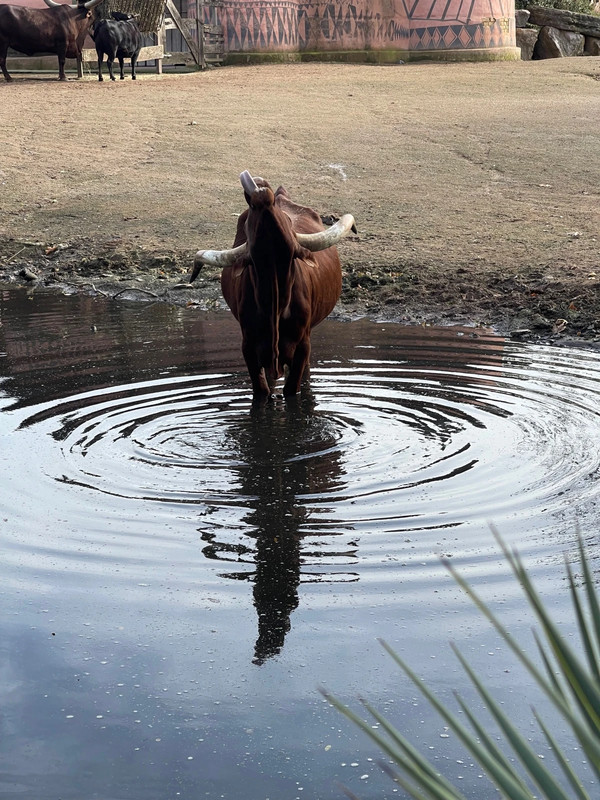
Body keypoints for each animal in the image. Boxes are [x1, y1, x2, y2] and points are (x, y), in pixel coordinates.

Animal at [190, 174, 354, 400]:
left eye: (286, 220)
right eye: (247, 220)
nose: (261, 191)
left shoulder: (302, 346)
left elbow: (292, 389)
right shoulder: (249, 347)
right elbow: (262, 391)